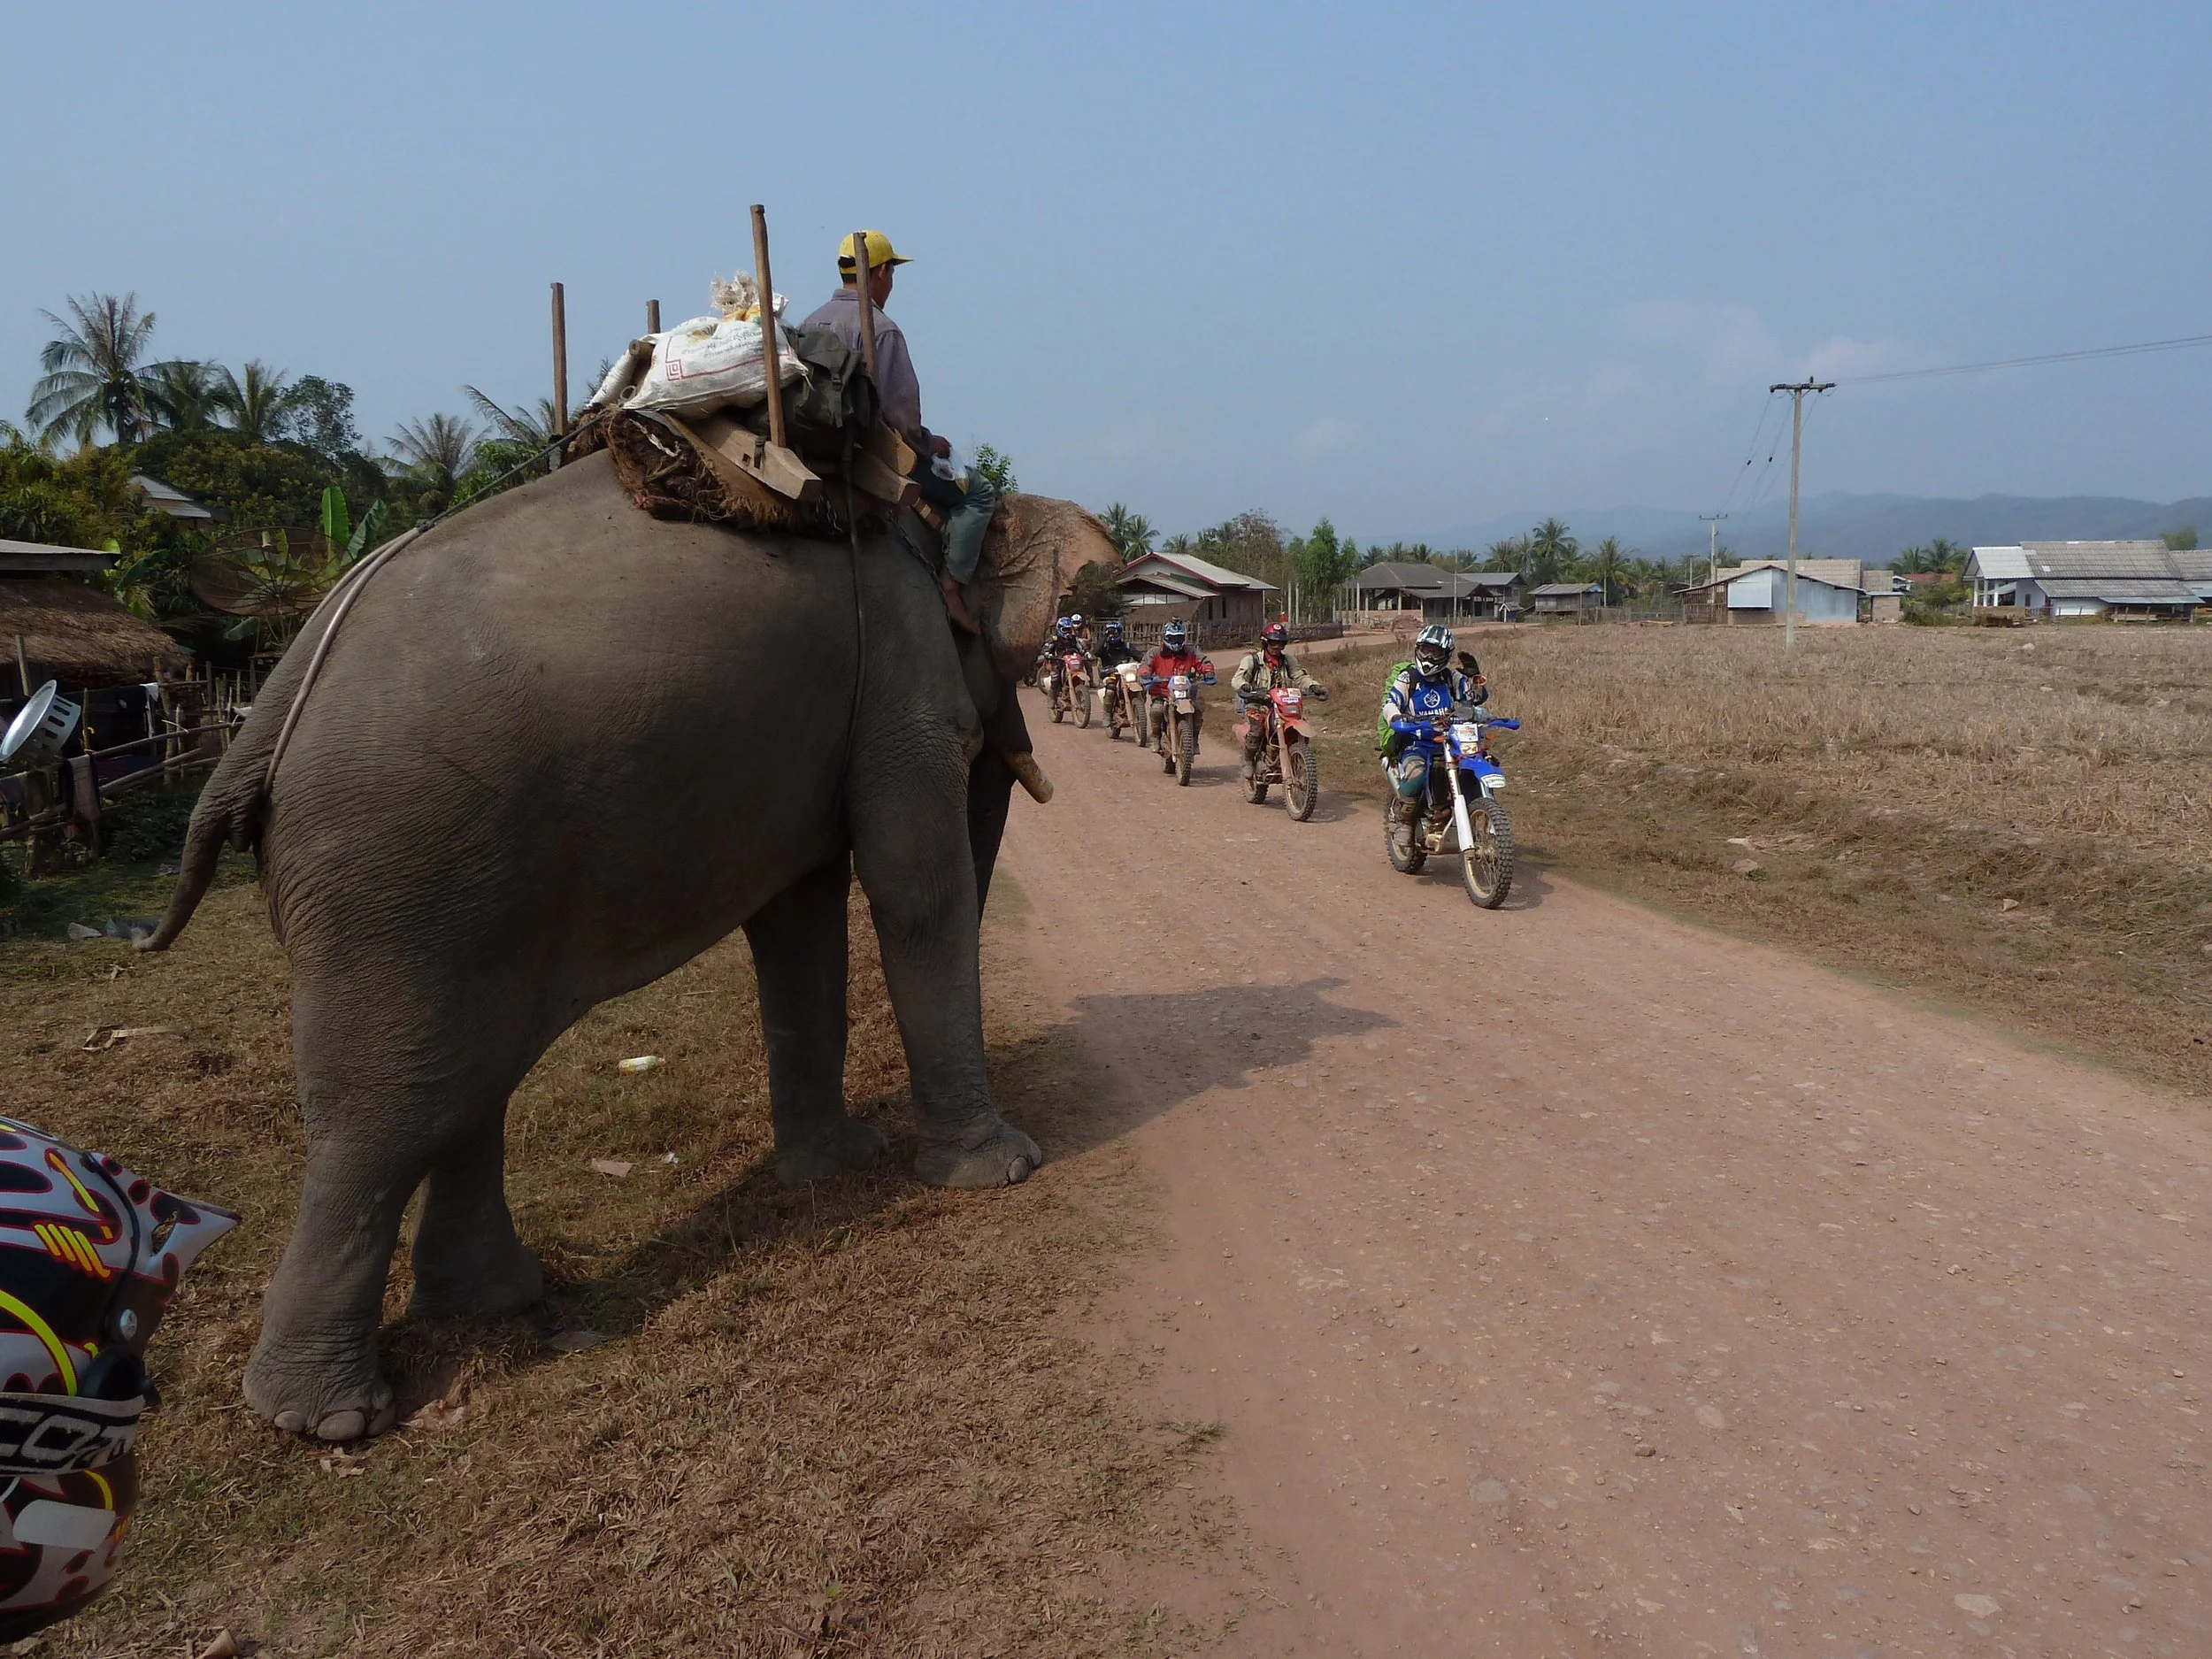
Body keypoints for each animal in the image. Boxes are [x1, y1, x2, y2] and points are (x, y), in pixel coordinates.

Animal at [145, 453, 1097, 1440]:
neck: (927, 514)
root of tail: (265, 714)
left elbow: (798, 920)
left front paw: (840, 1166)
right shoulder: (899, 680)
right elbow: (914, 891)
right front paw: (1002, 1169)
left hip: (442, 888)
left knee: (460, 1078)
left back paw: (491, 1303)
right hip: (392, 875)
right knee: (385, 1106)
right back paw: (325, 1419)